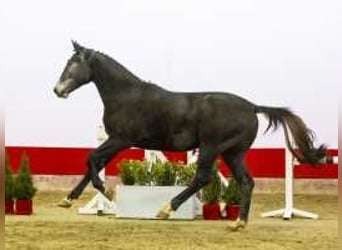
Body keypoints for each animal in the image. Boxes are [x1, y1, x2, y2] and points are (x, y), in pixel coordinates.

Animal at [54, 40, 332, 230]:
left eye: (73, 64)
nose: (57, 90)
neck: (126, 96)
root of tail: (252, 106)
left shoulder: (120, 140)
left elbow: (91, 160)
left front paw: (108, 193)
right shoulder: (116, 142)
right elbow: (93, 163)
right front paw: (68, 199)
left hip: (211, 147)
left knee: (203, 178)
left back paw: (167, 209)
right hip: (233, 153)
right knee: (246, 182)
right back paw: (238, 223)